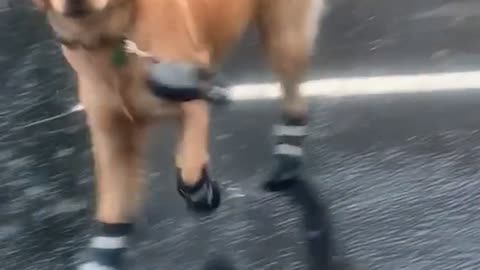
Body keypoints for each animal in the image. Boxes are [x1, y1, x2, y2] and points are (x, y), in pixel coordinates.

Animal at [31, 0, 326, 268]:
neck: (110, 35)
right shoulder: (113, 137)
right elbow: (113, 212)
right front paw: (104, 253)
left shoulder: (193, 104)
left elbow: (190, 170)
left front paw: (202, 193)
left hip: (284, 39)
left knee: (295, 102)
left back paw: (287, 161)